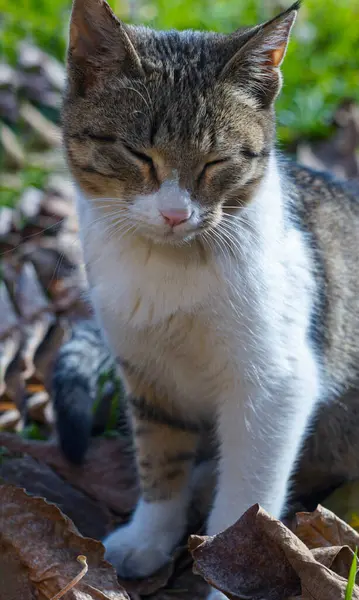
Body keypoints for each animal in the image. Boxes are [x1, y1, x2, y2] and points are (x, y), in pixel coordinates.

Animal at [58, 2, 359, 596]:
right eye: (137, 153)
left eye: (216, 163)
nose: (175, 214)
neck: (169, 265)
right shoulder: (146, 371)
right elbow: (159, 457)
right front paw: (150, 535)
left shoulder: (275, 386)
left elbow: (247, 498)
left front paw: (225, 576)